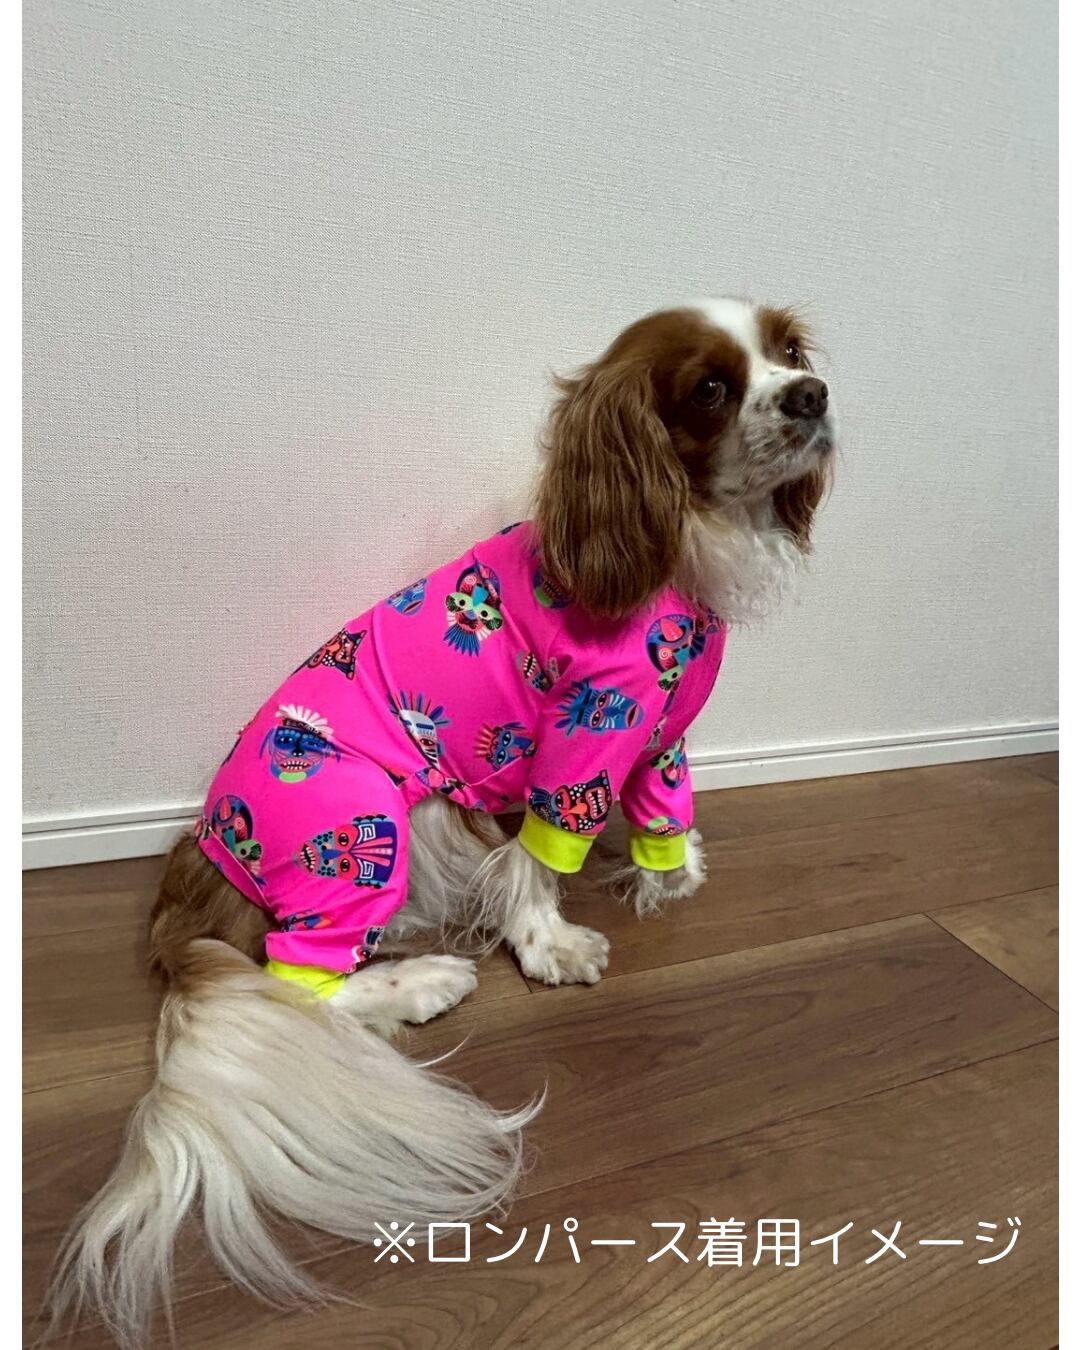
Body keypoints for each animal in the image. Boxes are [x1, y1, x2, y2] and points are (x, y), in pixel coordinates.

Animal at [48, 297, 835, 1347]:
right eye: (710, 387)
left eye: (789, 352)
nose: (812, 394)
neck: (673, 540)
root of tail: (192, 880)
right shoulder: (588, 730)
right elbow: (541, 858)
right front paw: (552, 948)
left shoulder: (660, 730)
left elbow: (666, 806)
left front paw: (671, 873)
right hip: (363, 818)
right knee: (297, 986)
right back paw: (423, 983)